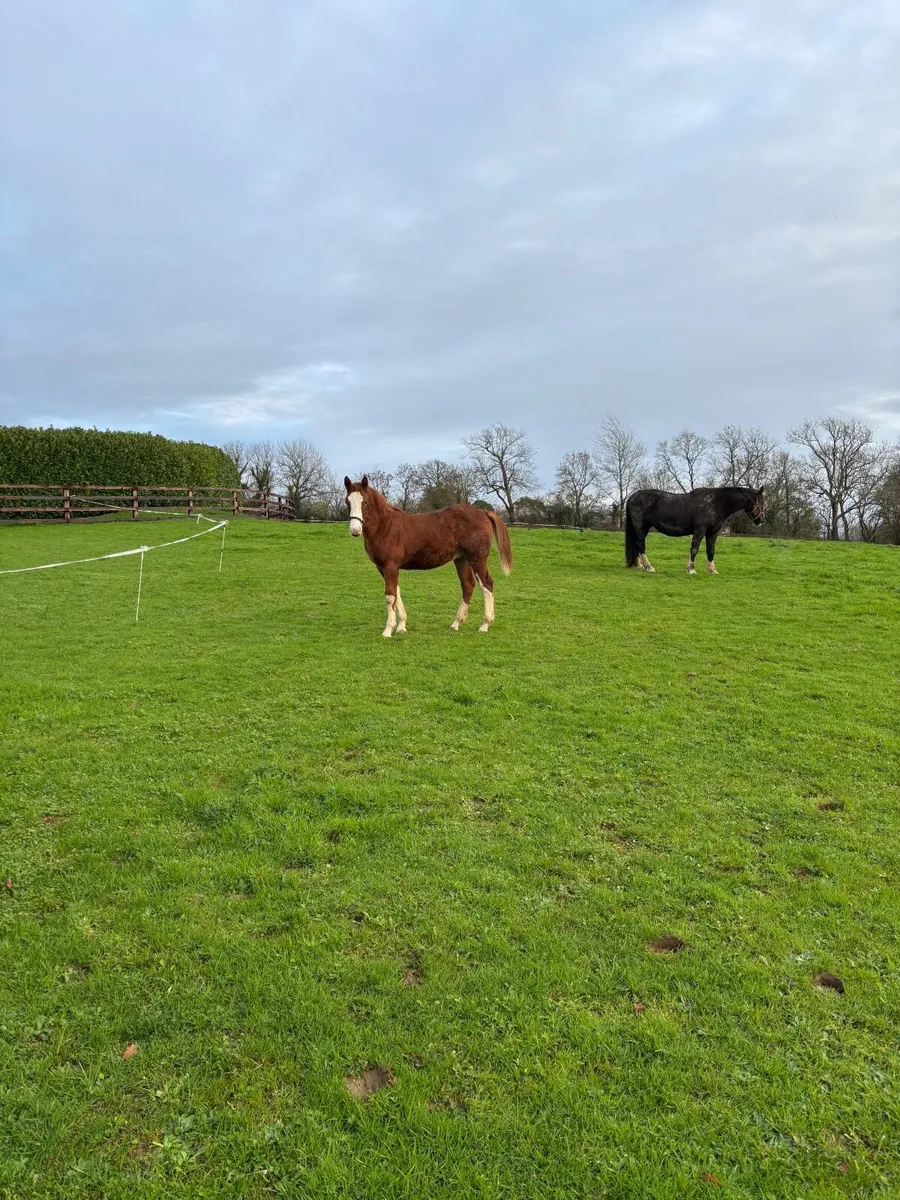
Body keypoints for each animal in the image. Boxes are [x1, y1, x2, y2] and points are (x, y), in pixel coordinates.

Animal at [344, 476, 513, 636]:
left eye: (365, 502)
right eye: (347, 501)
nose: (355, 530)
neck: (385, 526)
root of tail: (482, 513)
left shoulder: (390, 565)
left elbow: (390, 596)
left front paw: (388, 630)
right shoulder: (383, 567)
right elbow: (396, 592)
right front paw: (401, 626)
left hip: (477, 558)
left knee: (486, 584)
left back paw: (485, 624)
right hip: (461, 559)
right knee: (467, 585)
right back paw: (456, 623)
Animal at [624, 486, 764, 574]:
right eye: (761, 503)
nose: (761, 521)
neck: (716, 504)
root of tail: (632, 497)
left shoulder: (713, 533)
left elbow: (711, 550)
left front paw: (712, 570)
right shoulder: (699, 531)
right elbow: (694, 549)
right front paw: (691, 569)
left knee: (637, 544)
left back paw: (638, 565)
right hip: (641, 526)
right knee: (640, 545)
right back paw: (648, 567)